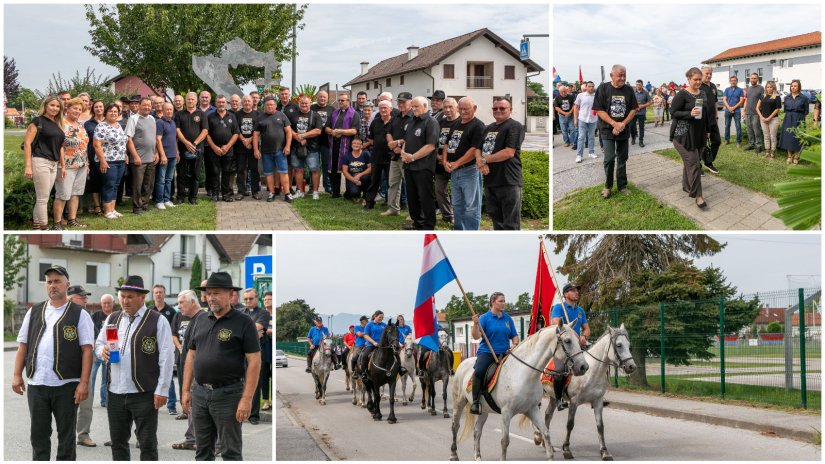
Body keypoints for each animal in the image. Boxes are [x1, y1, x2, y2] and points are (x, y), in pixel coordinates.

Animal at [448, 320, 588, 462]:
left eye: (578, 340)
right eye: (567, 341)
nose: (584, 367)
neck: (523, 374)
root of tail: (464, 362)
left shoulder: (532, 409)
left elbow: (546, 433)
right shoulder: (506, 413)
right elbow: (505, 440)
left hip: (484, 410)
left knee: (477, 431)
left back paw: (477, 457)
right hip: (459, 403)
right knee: (455, 426)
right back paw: (453, 454)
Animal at [536, 324, 636, 462]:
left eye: (628, 344)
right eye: (619, 345)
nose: (632, 366)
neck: (592, 372)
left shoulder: (598, 402)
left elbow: (600, 426)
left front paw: (604, 452)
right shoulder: (574, 402)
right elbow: (570, 424)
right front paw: (567, 449)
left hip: (553, 397)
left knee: (547, 415)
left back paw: (546, 444)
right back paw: (538, 436)